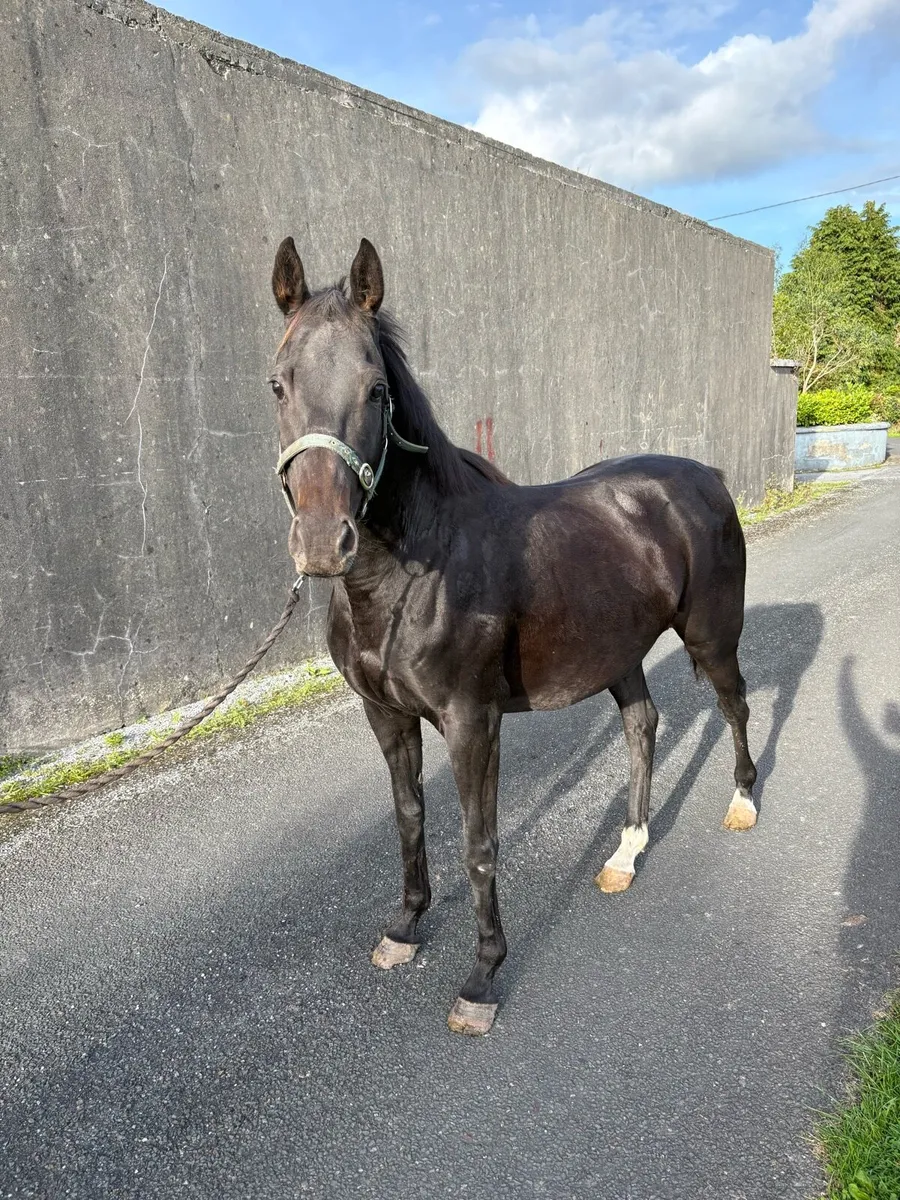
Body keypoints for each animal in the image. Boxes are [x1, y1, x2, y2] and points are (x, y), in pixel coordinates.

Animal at [268, 236, 758, 1035]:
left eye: (376, 390)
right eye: (277, 384)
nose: (320, 543)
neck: (415, 566)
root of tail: (705, 476)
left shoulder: (473, 720)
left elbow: (479, 841)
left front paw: (482, 977)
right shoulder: (386, 714)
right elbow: (409, 817)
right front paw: (405, 929)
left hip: (712, 637)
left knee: (734, 706)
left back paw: (743, 803)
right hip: (618, 651)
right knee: (643, 725)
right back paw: (625, 853)